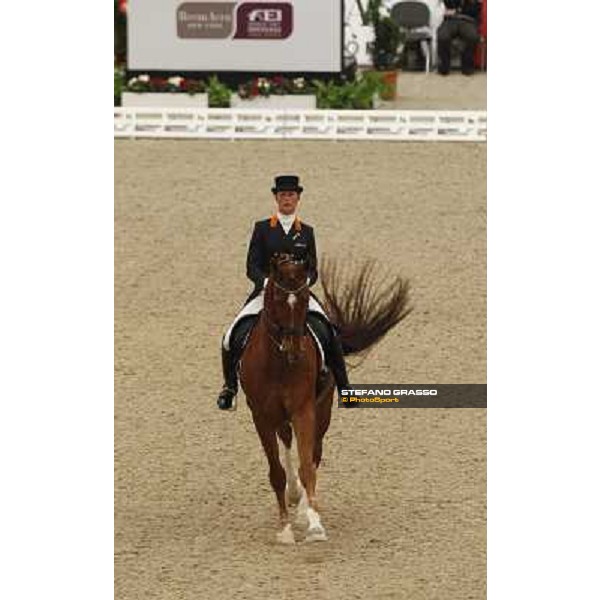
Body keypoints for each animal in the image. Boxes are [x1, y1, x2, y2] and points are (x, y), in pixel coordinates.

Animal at [237, 253, 410, 544]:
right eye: (278, 299)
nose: (293, 349)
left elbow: (308, 466)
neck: (278, 363)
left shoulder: (304, 409)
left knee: (313, 454)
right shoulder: (261, 415)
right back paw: (294, 497)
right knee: (287, 441)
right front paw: (285, 529)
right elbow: (276, 472)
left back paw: (303, 509)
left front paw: (314, 525)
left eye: (305, 298)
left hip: (322, 408)